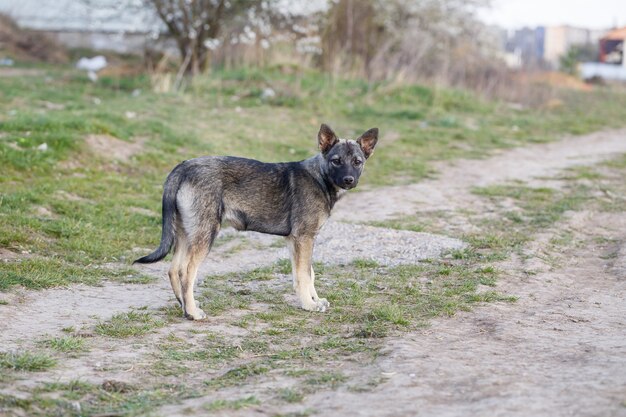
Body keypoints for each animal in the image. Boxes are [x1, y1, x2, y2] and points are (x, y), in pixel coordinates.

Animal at [135, 123, 378, 318]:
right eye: (336, 161)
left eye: (357, 162)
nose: (349, 180)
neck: (320, 177)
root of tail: (183, 166)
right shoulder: (304, 238)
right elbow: (305, 275)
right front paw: (309, 305)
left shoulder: (296, 241)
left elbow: (306, 275)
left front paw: (314, 301)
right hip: (205, 234)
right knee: (186, 272)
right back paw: (193, 313)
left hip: (187, 234)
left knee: (173, 269)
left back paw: (184, 305)